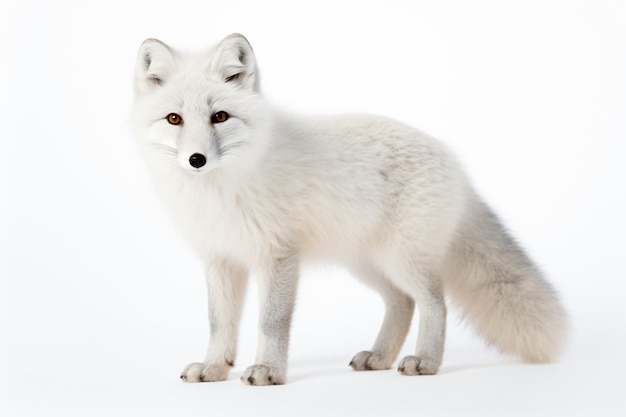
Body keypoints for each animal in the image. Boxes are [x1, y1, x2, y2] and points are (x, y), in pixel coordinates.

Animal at [130, 34, 564, 386]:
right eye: (174, 119)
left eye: (219, 116)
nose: (196, 160)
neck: (221, 190)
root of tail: (454, 162)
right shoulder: (221, 259)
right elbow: (219, 323)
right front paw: (215, 368)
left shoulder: (278, 256)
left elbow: (271, 323)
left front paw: (269, 371)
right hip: (367, 264)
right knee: (402, 304)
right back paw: (381, 357)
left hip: (402, 259)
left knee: (434, 303)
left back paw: (425, 360)